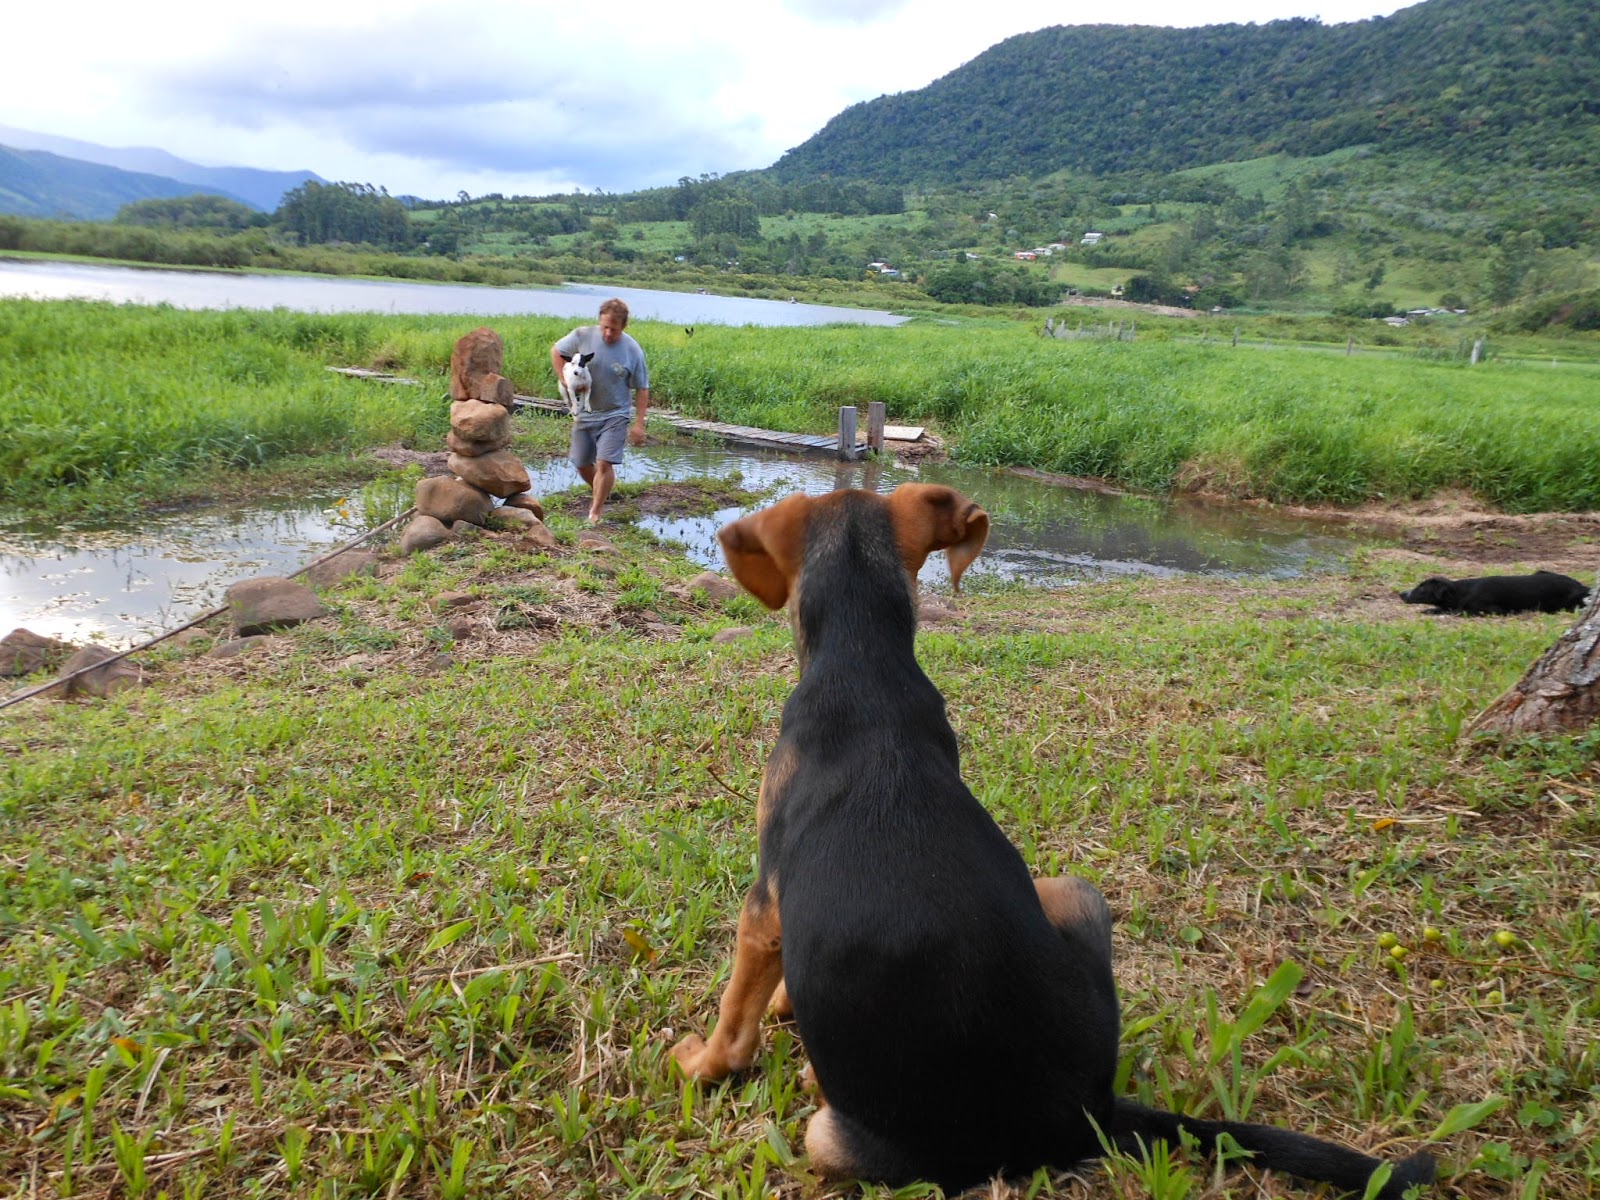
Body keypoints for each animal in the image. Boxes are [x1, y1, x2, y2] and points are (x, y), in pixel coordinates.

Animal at [673, 482, 1435, 1198]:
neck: (867, 666)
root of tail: (1088, 1110)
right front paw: (784, 1005)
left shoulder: (764, 906)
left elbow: (735, 1014)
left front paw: (704, 1063)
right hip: (1074, 890)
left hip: (832, 1136)